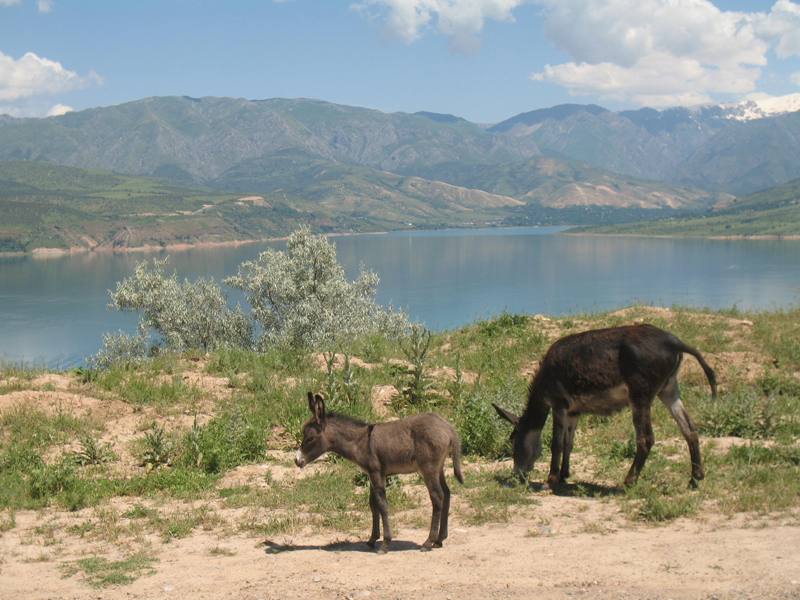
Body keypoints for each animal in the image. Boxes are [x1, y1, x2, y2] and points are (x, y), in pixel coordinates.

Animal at [294, 394, 462, 552]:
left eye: (310, 438)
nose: (297, 460)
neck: (361, 441)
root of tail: (448, 427)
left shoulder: (377, 473)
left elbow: (382, 505)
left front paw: (386, 543)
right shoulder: (371, 475)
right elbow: (373, 505)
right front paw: (372, 539)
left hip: (428, 469)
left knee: (437, 497)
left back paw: (428, 542)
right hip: (438, 468)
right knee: (447, 494)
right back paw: (439, 540)